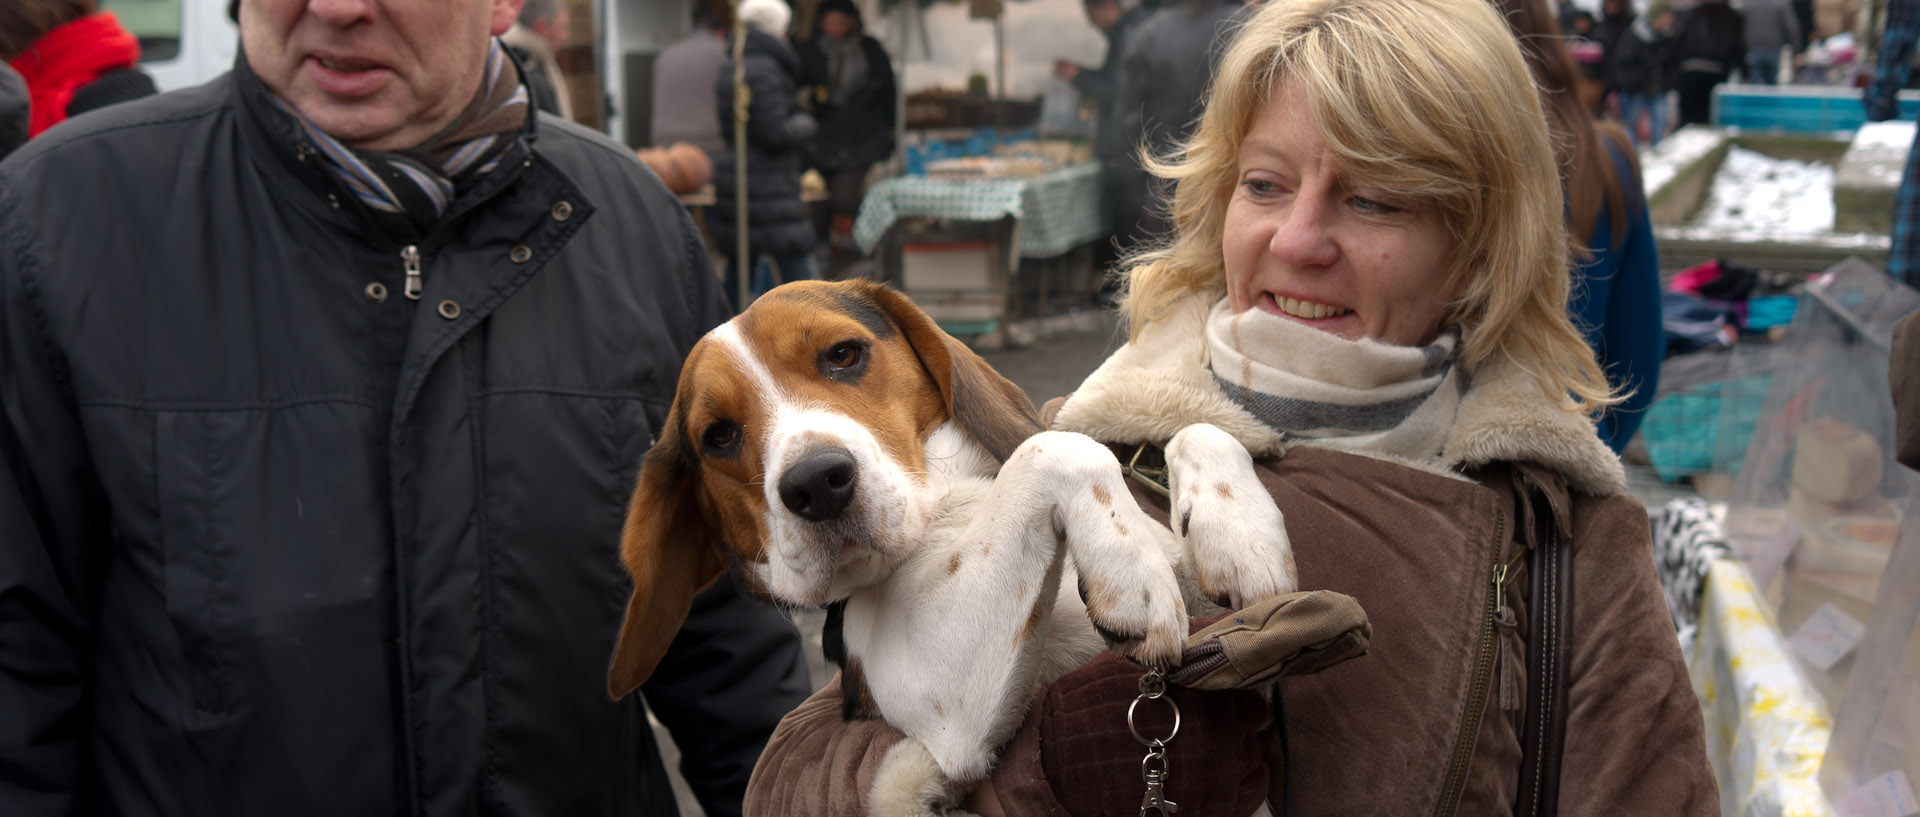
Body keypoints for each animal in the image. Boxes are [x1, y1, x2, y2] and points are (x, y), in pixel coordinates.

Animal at [602, 278, 1290, 793]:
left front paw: (1245, 539)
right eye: (718, 435)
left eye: (843, 354)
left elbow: (1196, 428)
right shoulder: (946, 706)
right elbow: (1055, 447)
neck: (952, 507)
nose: (817, 483)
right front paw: (1131, 572)